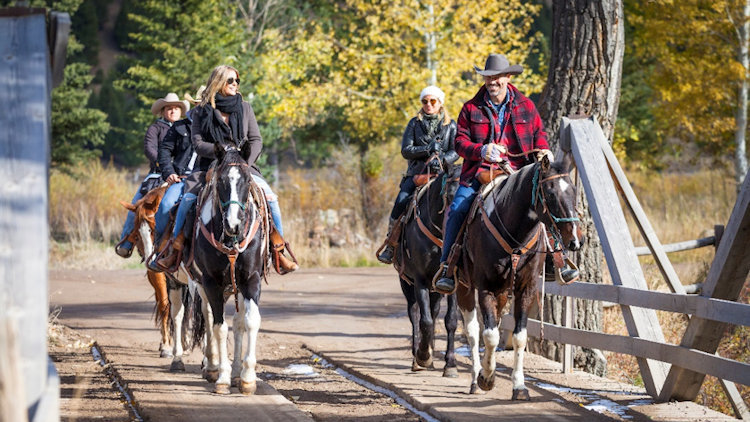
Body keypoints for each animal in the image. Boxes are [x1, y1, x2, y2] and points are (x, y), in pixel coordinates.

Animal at [118, 185, 194, 370]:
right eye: (136, 233)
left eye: (154, 227)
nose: (149, 260)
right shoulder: (158, 273)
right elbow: (165, 306)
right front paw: (166, 346)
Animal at [192, 143, 268, 394]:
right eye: (221, 180)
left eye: (247, 179)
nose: (234, 224)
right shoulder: (211, 282)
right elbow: (219, 327)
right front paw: (223, 377)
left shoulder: (251, 279)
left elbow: (249, 321)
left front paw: (246, 377)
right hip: (201, 284)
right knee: (208, 317)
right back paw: (213, 366)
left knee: (238, 321)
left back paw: (235, 372)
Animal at [394, 163, 464, 378]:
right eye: (448, 195)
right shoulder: (420, 280)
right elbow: (424, 321)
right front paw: (423, 356)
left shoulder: (452, 284)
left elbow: (450, 320)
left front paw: (450, 364)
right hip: (406, 284)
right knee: (415, 313)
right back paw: (418, 358)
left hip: (436, 291)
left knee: (433, 312)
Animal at [456, 153, 584, 400]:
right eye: (550, 193)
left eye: (574, 191)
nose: (575, 240)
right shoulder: (485, 287)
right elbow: (490, 335)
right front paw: (487, 378)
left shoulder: (526, 288)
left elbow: (519, 336)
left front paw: (519, 386)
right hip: (463, 286)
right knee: (473, 330)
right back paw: (476, 378)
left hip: (502, 292)